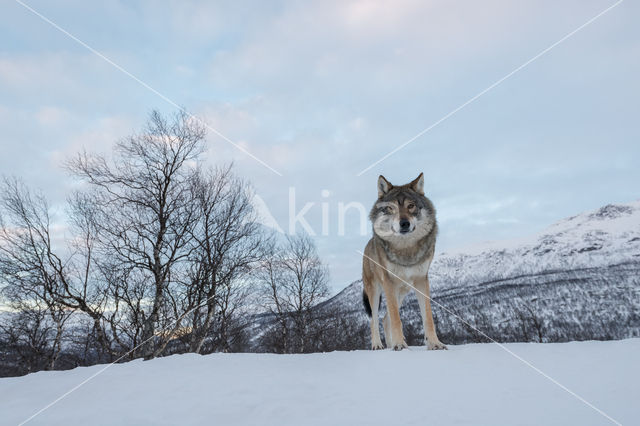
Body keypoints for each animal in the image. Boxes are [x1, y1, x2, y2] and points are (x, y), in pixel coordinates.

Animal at [362, 171, 448, 352]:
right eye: (390, 208)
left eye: (411, 206)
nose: (404, 223)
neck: (405, 249)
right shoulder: (388, 282)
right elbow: (396, 318)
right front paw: (399, 345)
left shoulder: (422, 280)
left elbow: (428, 317)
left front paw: (434, 343)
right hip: (376, 292)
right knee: (374, 319)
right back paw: (378, 345)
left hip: (402, 291)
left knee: (385, 319)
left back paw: (390, 344)